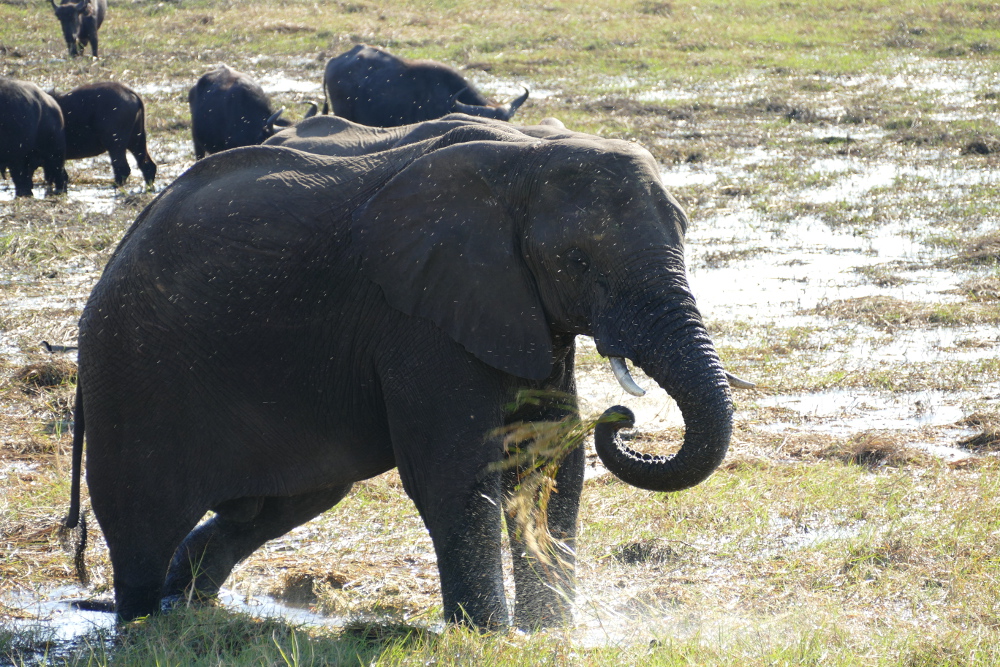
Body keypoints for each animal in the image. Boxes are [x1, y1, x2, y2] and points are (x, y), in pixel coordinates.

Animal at [63, 122, 738, 630]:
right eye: (577, 260)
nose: (621, 419)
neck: (526, 155)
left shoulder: (517, 308)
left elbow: (550, 460)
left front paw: (547, 634)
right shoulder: (419, 316)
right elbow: (455, 473)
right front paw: (490, 639)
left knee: (279, 503)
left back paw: (186, 603)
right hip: (134, 375)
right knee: (142, 523)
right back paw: (144, 623)